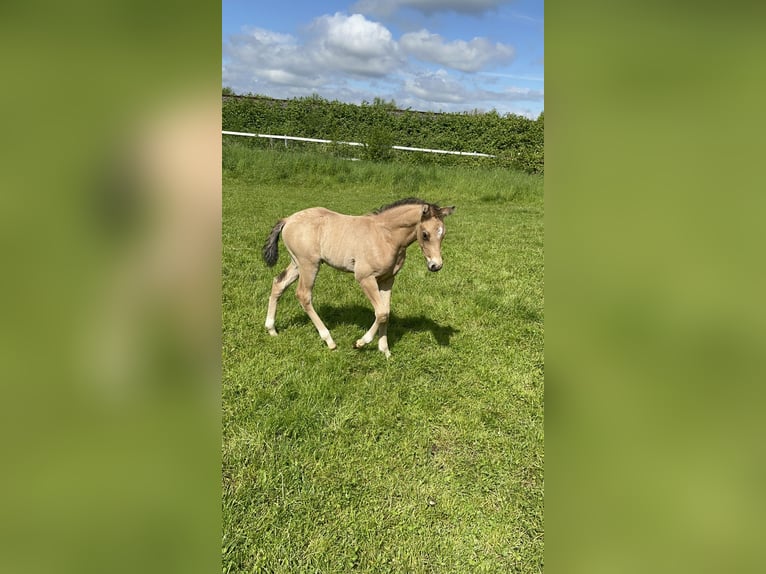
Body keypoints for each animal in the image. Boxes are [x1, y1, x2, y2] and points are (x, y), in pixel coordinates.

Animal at [262, 197, 455, 357]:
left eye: (443, 234)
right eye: (425, 234)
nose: (436, 266)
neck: (385, 236)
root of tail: (288, 219)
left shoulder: (388, 279)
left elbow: (386, 312)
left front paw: (385, 351)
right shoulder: (365, 278)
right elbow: (381, 312)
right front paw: (360, 343)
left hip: (297, 264)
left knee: (278, 283)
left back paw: (271, 329)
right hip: (309, 264)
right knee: (303, 295)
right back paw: (329, 340)